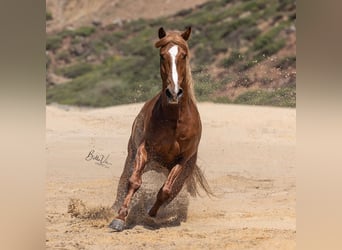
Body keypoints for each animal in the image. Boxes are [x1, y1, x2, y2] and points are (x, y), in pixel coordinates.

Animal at [109, 26, 211, 231]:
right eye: (162, 55)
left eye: (184, 55)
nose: (174, 93)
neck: (174, 120)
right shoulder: (145, 150)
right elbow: (133, 181)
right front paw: (120, 217)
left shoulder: (183, 160)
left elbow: (166, 190)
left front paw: (152, 214)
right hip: (134, 155)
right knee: (124, 179)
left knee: (174, 191)